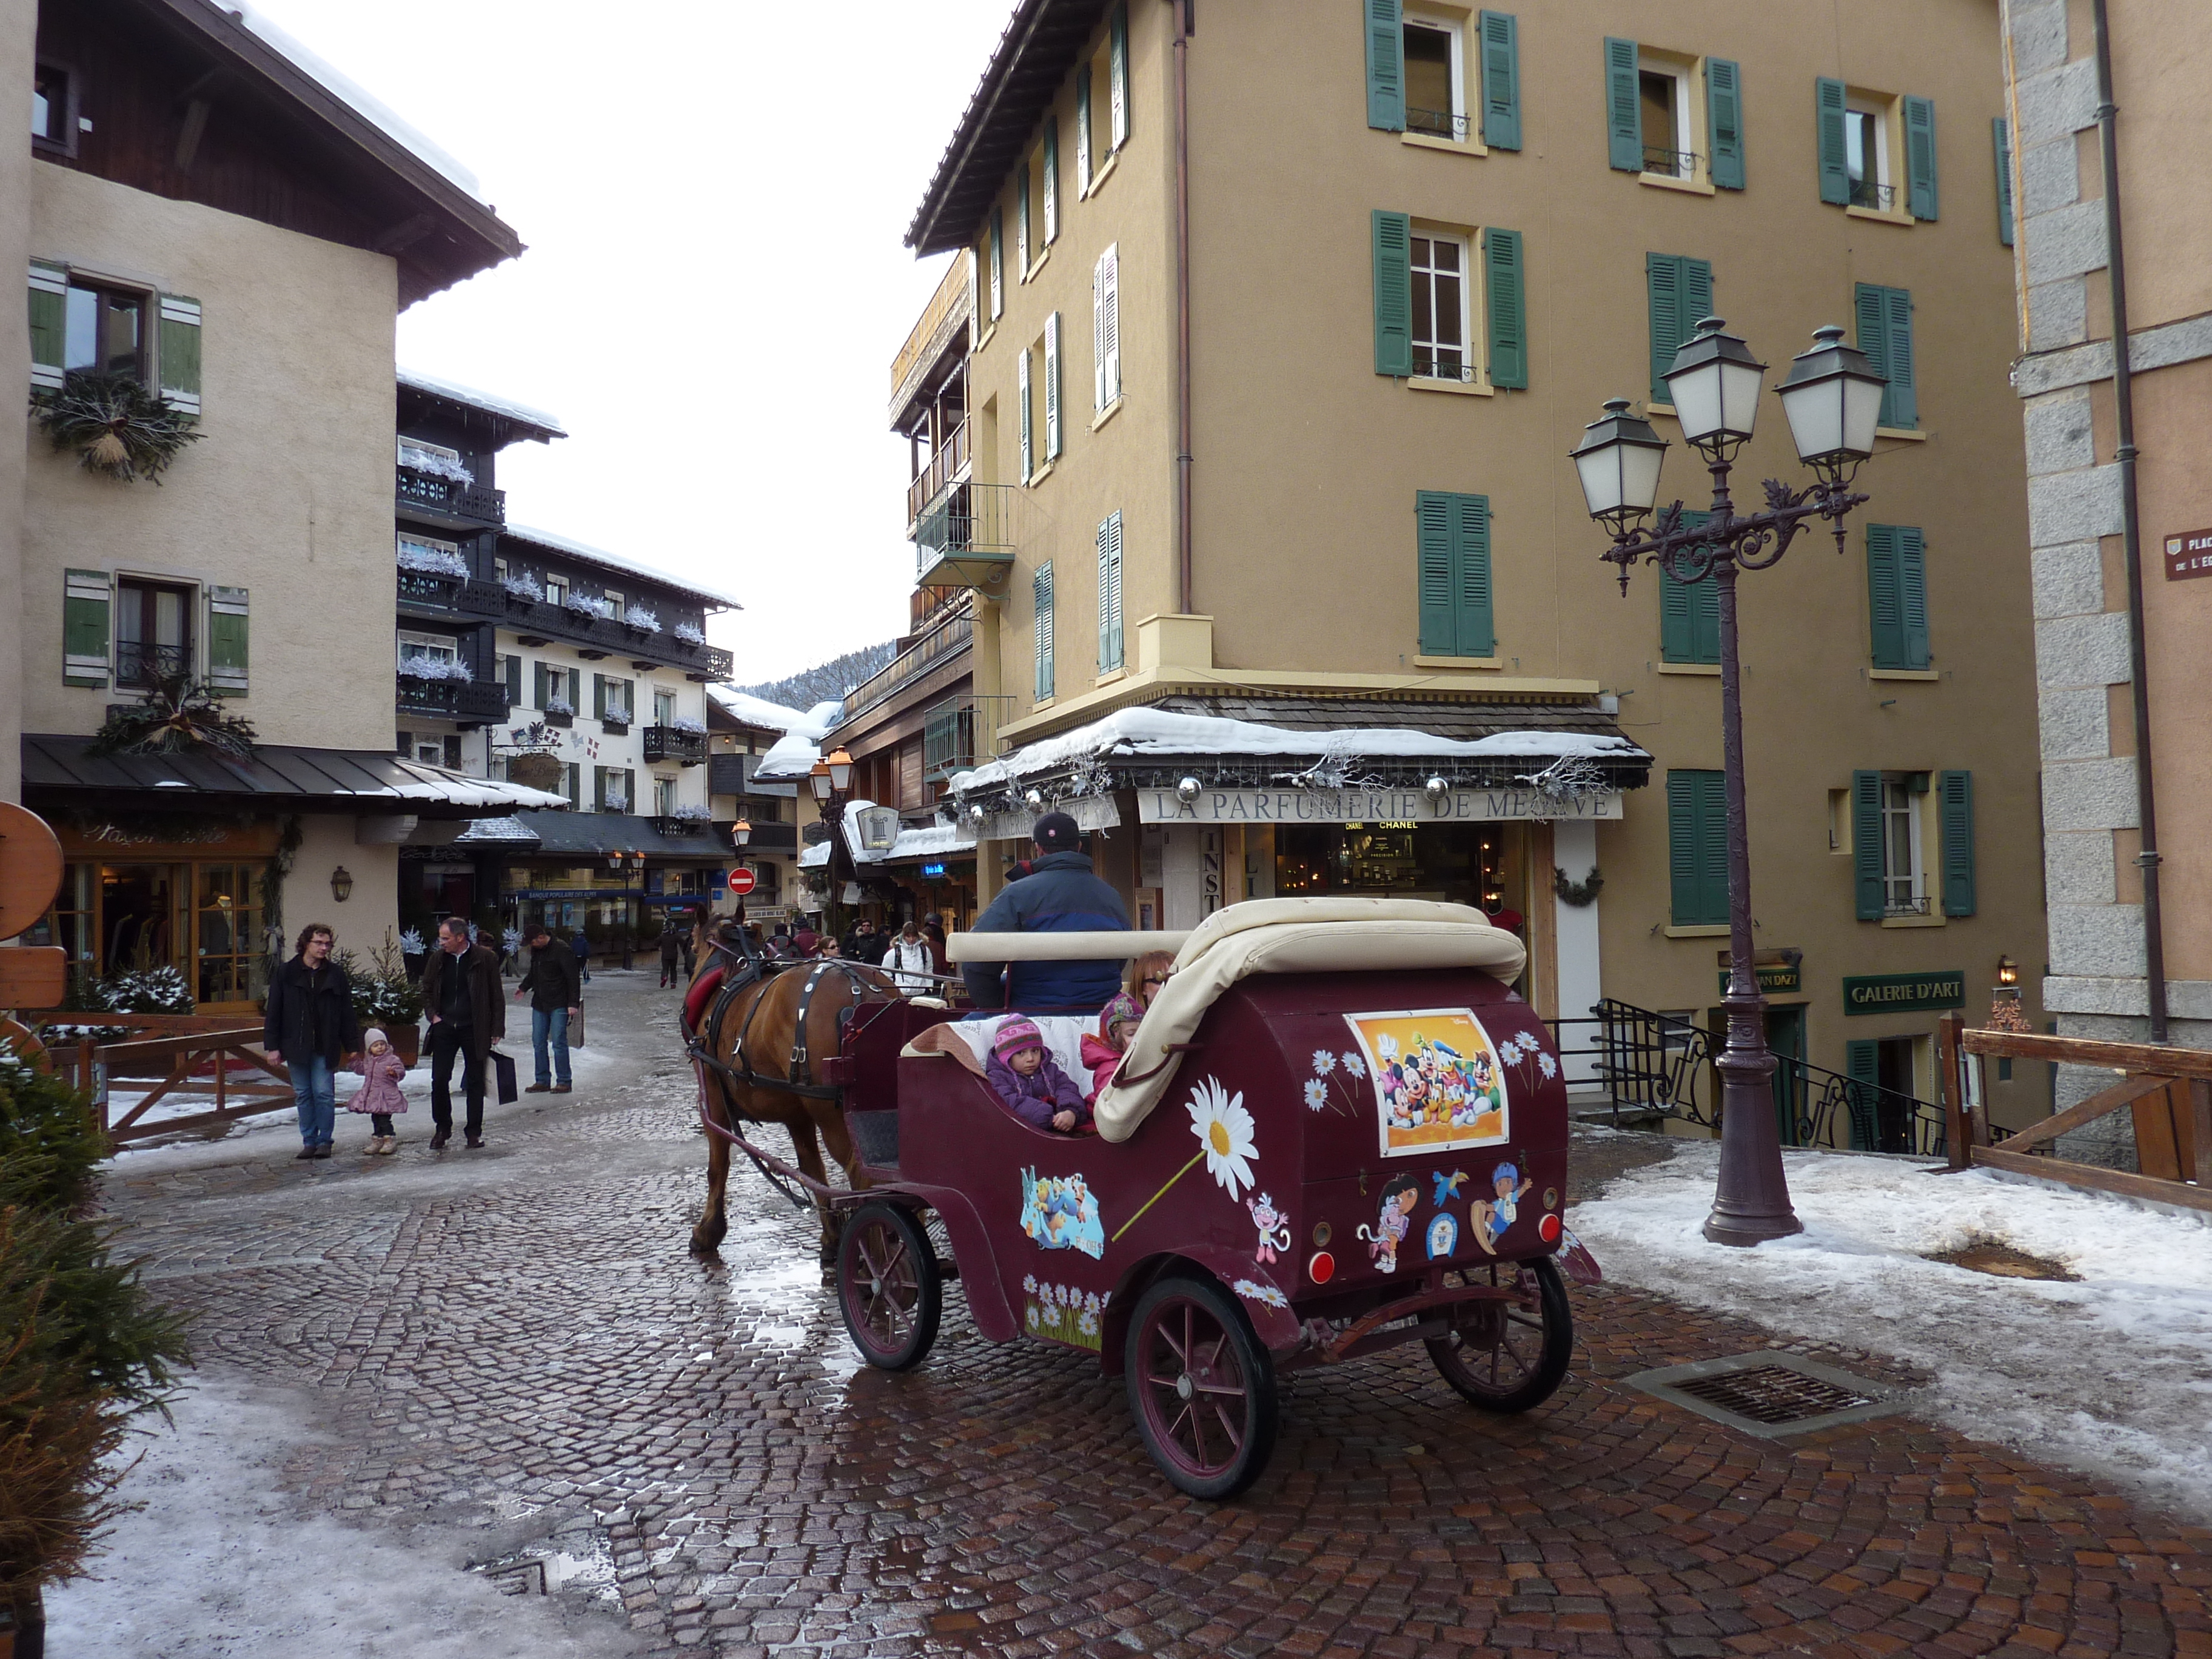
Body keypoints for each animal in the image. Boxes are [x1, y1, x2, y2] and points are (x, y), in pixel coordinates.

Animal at [690, 942, 898, 1265]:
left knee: (864, 1181)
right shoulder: (797, 1115)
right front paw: (831, 1237)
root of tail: (863, 993)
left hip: (834, 1121)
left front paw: (708, 1231)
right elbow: (812, 1167)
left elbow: (717, 1165)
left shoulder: (713, 1096)